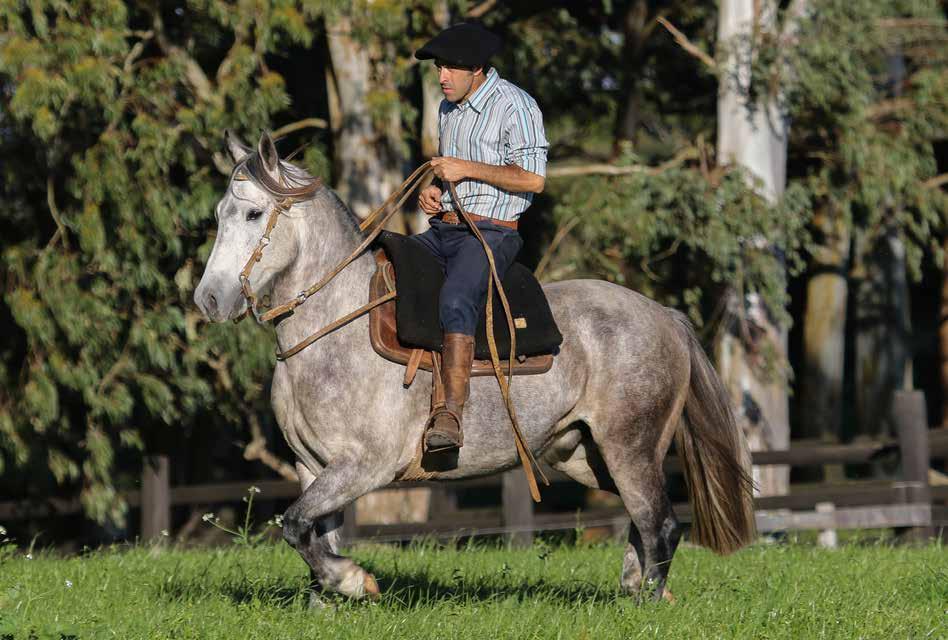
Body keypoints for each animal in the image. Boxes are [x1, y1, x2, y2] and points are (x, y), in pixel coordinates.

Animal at [193, 132, 756, 604]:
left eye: (252, 214)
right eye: (220, 213)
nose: (208, 300)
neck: (335, 330)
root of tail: (665, 317)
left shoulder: (364, 466)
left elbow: (294, 525)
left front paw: (353, 580)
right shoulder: (313, 466)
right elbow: (313, 534)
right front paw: (328, 597)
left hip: (630, 448)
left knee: (660, 524)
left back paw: (646, 604)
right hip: (585, 454)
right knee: (643, 522)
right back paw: (634, 589)